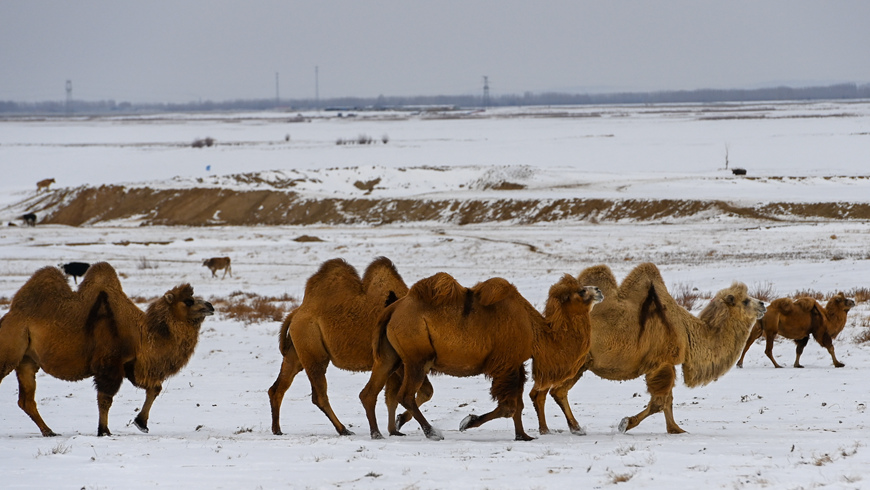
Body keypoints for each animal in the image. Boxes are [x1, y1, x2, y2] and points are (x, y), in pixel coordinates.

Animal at [0, 262, 215, 438]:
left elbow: (154, 388)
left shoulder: (130, 365)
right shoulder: (109, 363)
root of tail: (8, 317)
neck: (140, 335)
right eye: (188, 301)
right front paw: (104, 431)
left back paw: (49, 431)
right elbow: (105, 399)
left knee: (26, 400)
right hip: (10, 349)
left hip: (27, 360)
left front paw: (141, 423)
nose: (210, 305)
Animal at [264, 256, 430, 436]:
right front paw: (399, 424)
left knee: (278, 387)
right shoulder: (402, 361)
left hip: (296, 352)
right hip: (312, 349)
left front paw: (395, 429)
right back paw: (343, 429)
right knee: (319, 394)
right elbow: (423, 391)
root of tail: (296, 313)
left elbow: (392, 397)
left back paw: (277, 429)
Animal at [358, 272, 604, 440]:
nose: (599, 290)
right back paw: (432, 432)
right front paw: (468, 422)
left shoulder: (514, 364)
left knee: (369, 392)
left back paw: (377, 433)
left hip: (390, 357)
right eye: (581, 292)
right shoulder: (507, 364)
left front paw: (523, 436)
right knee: (405, 394)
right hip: (416, 358)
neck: (536, 331)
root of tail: (392, 310)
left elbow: (517, 405)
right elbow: (509, 406)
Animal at [536, 262, 768, 434]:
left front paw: (675, 429)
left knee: (544, 391)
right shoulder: (662, 363)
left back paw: (548, 429)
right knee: (557, 390)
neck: (686, 331)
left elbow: (667, 401)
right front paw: (626, 424)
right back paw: (572, 428)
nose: (763, 304)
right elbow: (659, 402)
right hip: (578, 362)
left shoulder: (665, 365)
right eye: (745, 301)